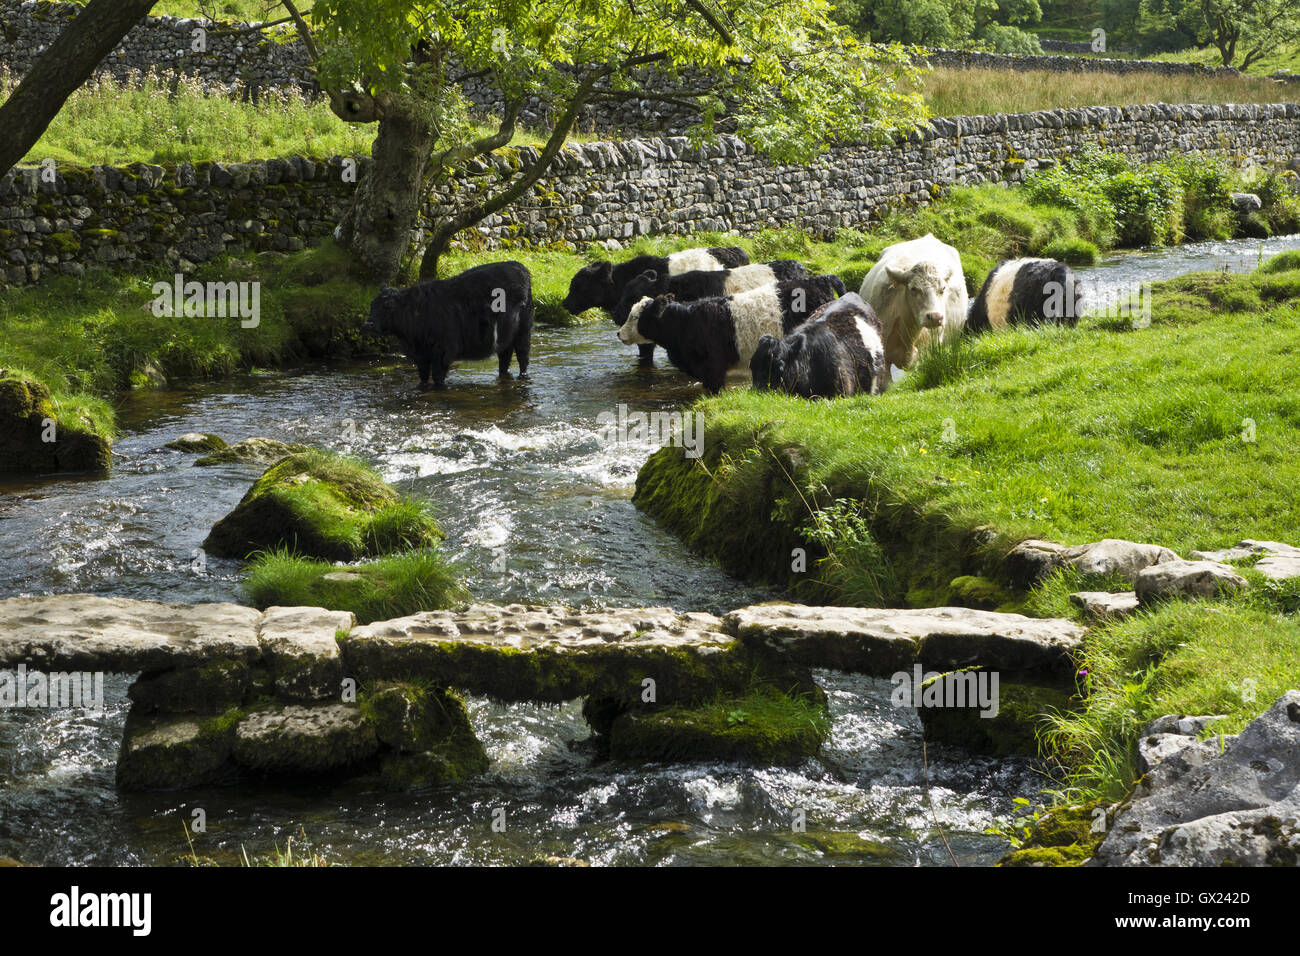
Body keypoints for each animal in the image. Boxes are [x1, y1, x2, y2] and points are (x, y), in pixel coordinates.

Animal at [363, 261, 533, 390]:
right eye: (371, 305)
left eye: (388, 306)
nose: (368, 323)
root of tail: (518, 266)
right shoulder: (421, 356)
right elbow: (423, 377)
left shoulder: (443, 352)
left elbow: (438, 378)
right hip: (506, 336)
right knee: (505, 357)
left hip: (524, 330)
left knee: (523, 357)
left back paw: (523, 376)